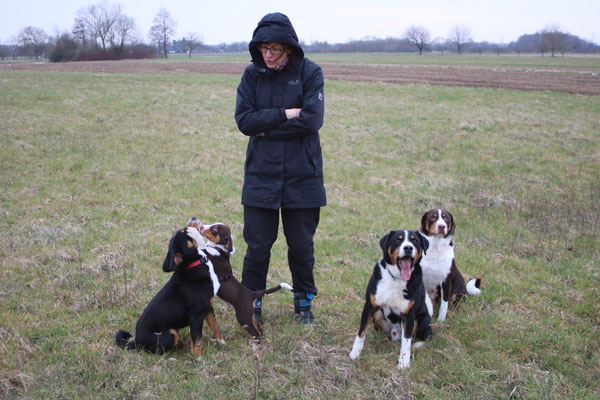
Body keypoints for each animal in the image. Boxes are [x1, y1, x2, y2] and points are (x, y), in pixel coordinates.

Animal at [115, 219, 223, 360]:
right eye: (184, 231)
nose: (193, 218)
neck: (195, 263)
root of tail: (137, 341)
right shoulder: (196, 316)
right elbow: (197, 341)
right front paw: (198, 359)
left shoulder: (208, 308)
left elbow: (215, 328)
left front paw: (222, 343)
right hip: (170, 335)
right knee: (155, 352)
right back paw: (172, 359)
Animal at [350, 228, 434, 368]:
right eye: (398, 240)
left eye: (414, 240)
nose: (408, 248)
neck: (397, 278)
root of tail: (395, 333)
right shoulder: (370, 306)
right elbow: (361, 332)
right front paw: (355, 353)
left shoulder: (409, 315)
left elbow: (406, 342)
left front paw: (403, 362)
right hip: (378, 314)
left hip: (423, 319)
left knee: (426, 335)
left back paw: (417, 345)